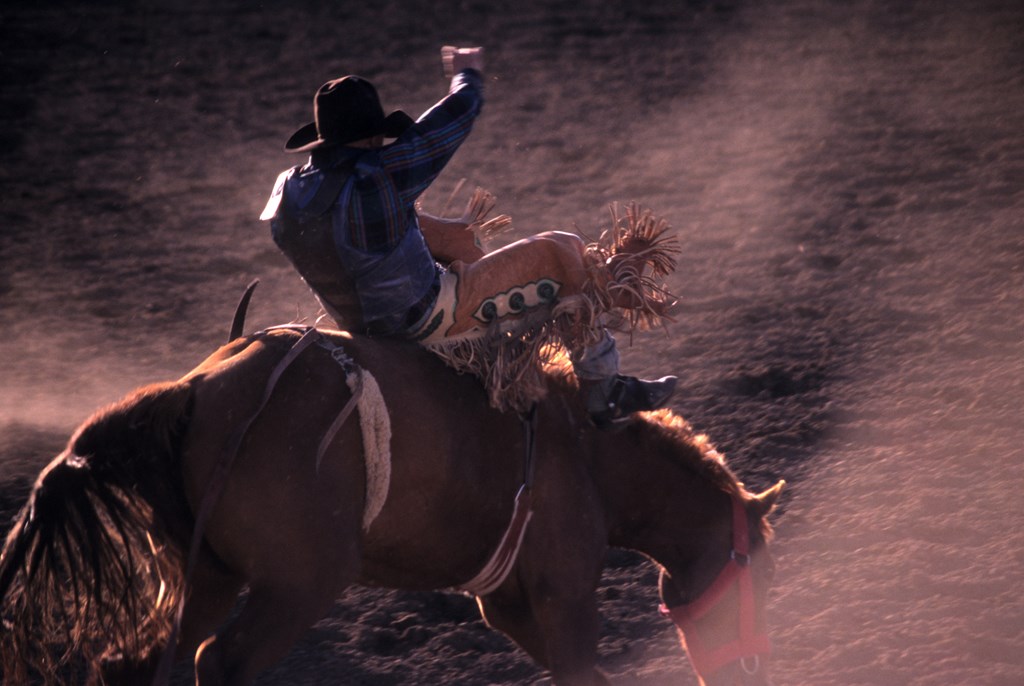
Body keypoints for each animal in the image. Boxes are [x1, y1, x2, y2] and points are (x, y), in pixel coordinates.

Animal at [2, 325, 782, 683]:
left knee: (135, 661)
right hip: (297, 585)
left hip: (210, 574)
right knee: (220, 661)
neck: (590, 453)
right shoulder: (565, 592)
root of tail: (194, 389)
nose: (756, 668)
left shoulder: (507, 603)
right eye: (767, 581)